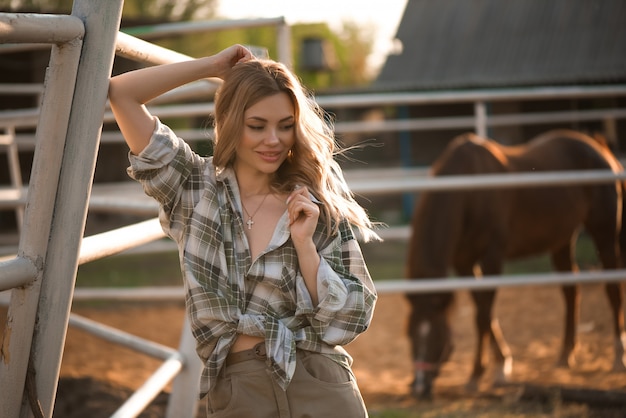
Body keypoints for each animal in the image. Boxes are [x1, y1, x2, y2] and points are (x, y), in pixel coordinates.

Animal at [404, 130, 624, 398]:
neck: (468, 193)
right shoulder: (464, 262)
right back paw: (565, 355)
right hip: (562, 240)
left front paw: (478, 374)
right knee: (571, 290)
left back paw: (618, 357)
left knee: (613, 289)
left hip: (604, 232)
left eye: (436, 336)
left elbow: (483, 315)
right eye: (410, 335)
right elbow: (483, 310)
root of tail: (600, 148)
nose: (419, 387)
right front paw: (501, 365)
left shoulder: (492, 258)